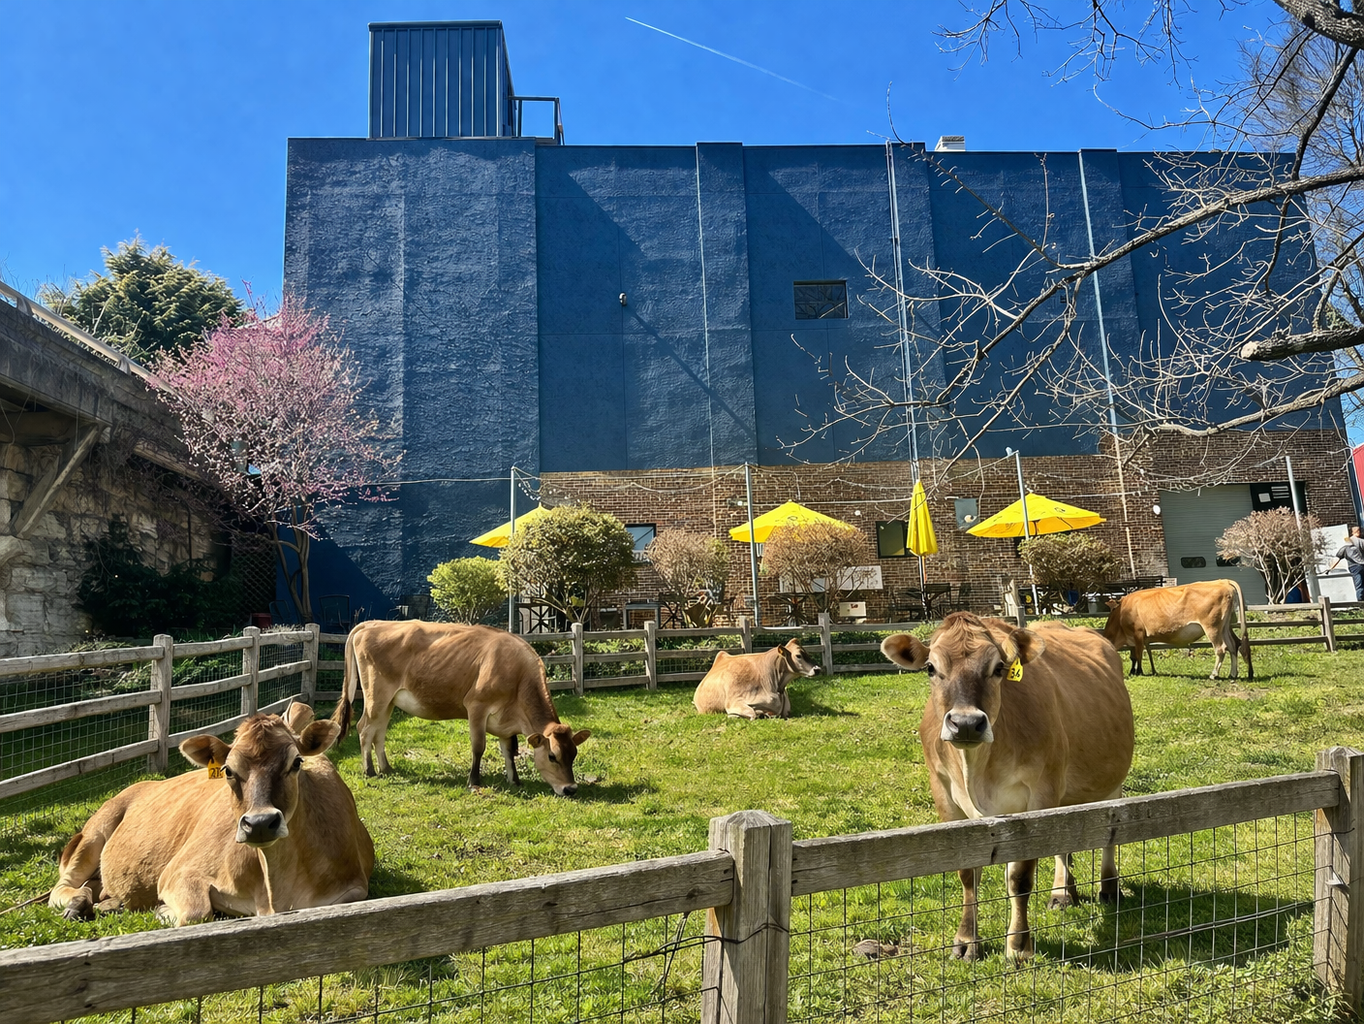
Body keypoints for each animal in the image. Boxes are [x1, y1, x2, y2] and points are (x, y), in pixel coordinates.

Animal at [49, 703, 374, 926]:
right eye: (228, 770)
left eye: (296, 762)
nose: (260, 823)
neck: (275, 894)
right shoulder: (178, 872)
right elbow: (197, 913)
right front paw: (161, 909)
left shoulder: (355, 889)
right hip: (93, 834)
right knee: (62, 887)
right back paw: (78, 903)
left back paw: (107, 903)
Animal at [331, 621, 590, 796]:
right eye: (552, 756)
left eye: (574, 754)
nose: (570, 788)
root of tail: (371, 623)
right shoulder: (476, 706)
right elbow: (478, 747)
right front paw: (474, 781)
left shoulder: (506, 722)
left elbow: (509, 750)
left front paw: (514, 780)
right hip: (376, 696)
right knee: (364, 728)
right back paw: (369, 771)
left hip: (389, 702)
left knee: (379, 732)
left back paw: (386, 768)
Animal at [881, 612, 1134, 962]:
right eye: (931, 668)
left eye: (999, 668)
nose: (966, 723)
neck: (976, 768)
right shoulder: (944, 793)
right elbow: (967, 872)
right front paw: (966, 941)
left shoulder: (1040, 793)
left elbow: (1020, 877)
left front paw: (1018, 946)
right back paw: (1062, 892)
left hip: (1109, 779)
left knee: (1111, 831)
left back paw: (1108, 887)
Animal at [1102, 579, 1252, 681]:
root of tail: (1222, 581)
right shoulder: (1136, 638)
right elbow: (1135, 656)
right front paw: (1138, 671)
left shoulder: (1138, 633)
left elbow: (1138, 655)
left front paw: (1139, 672)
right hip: (1224, 626)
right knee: (1233, 645)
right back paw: (1233, 674)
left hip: (1212, 627)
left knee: (1221, 648)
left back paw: (1214, 674)